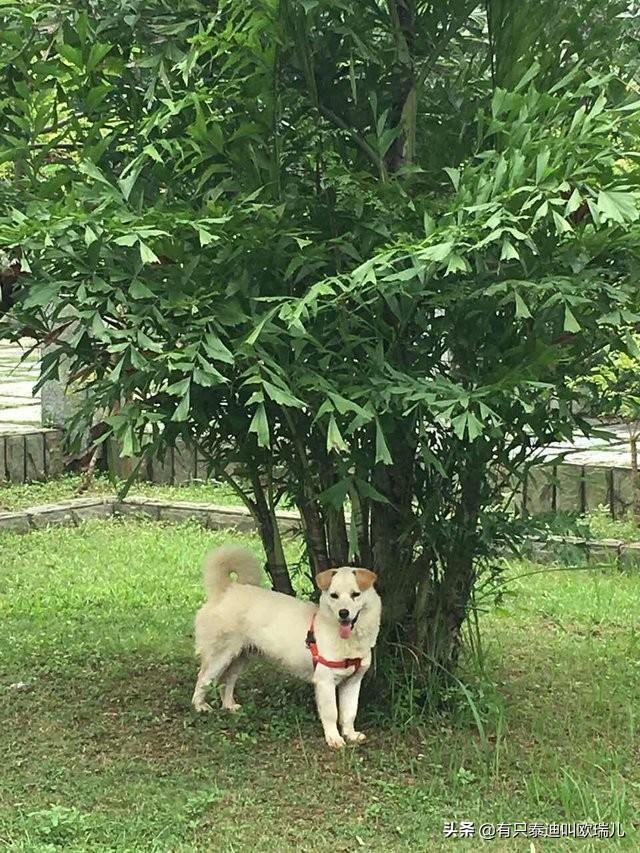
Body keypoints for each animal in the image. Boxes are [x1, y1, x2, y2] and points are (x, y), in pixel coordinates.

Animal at [190, 544, 380, 744]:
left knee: (227, 681)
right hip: (220, 655)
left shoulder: (353, 682)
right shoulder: (325, 682)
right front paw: (334, 739)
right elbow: (331, 713)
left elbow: (349, 713)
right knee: (203, 678)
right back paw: (200, 706)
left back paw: (229, 706)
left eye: (355, 594)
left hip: (241, 657)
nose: (343, 613)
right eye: (334, 595)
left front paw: (350, 734)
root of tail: (226, 590)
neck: (348, 639)